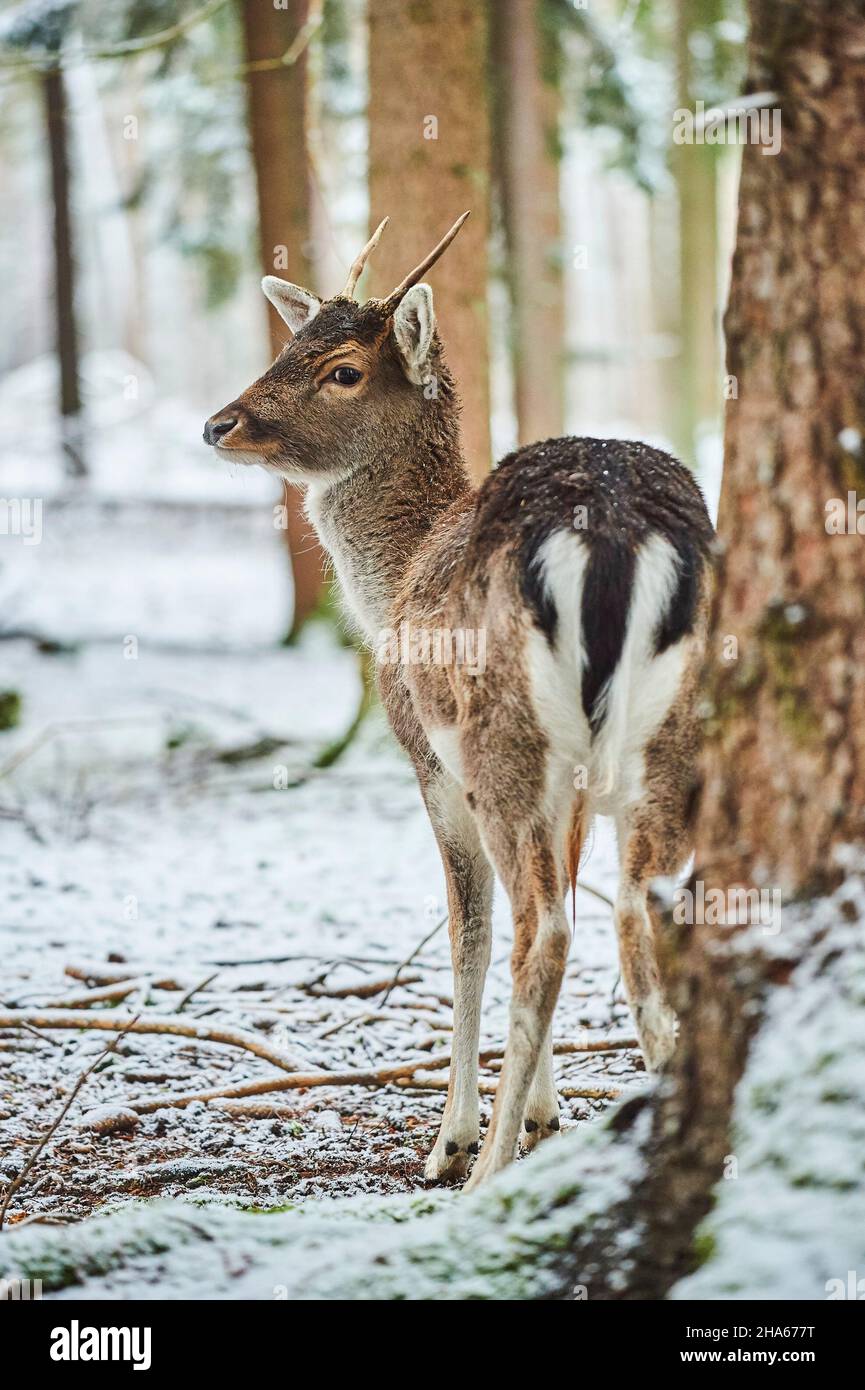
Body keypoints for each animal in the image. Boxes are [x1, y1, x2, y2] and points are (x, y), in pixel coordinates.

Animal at [204, 211, 717, 1189]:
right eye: (292, 342)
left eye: (342, 370)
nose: (219, 422)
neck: (394, 577)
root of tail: (612, 527)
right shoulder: (573, 793)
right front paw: (547, 1111)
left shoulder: (430, 764)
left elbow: (466, 935)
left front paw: (456, 1136)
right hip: (665, 738)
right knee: (638, 914)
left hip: (500, 737)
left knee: (542, 932)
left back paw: (482, 1175)